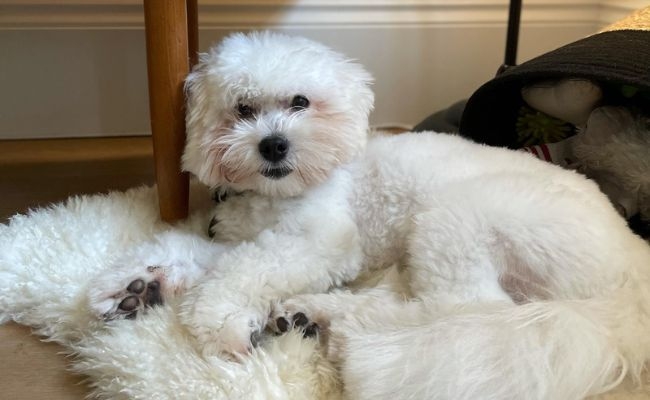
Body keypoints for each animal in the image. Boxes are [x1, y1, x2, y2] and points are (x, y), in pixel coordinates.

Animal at [88, 32, 648, 398]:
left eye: (300, 101)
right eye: (242, 108)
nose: (273, 145)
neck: (280, 193)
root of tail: (632, 272)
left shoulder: (322, 241)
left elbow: (241, 269)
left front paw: (219, 319)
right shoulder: (241, 233)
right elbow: (194, 248)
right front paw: (137, 283)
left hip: (458, 219)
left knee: (465, 312)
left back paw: (340, 324)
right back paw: (308, 313)